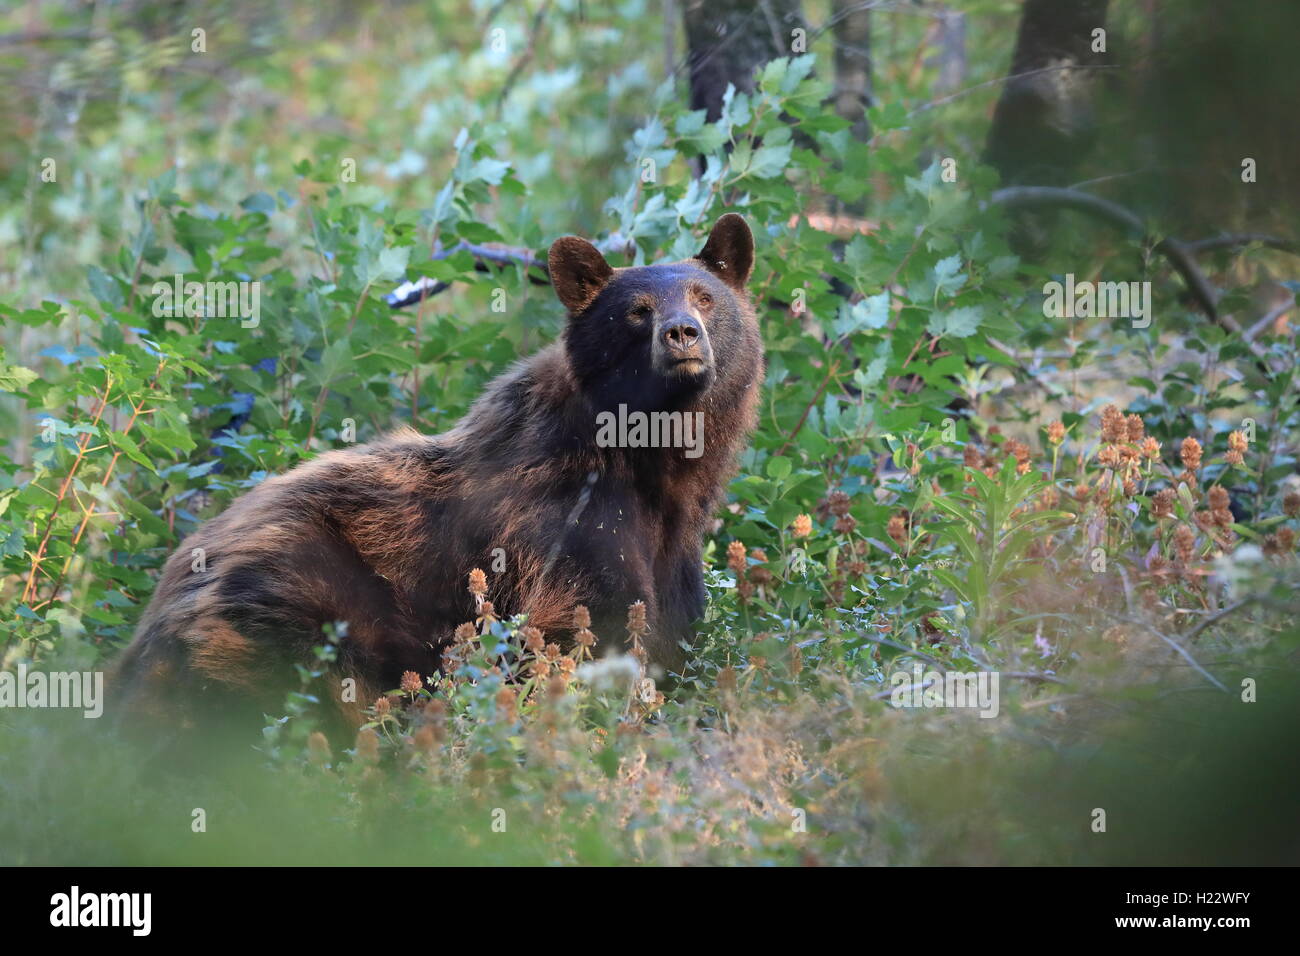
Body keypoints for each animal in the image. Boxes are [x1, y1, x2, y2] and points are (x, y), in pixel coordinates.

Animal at [110, 213, 763, 735]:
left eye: (705, 296)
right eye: (635, 310)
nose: (682, 333)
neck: (654, 470)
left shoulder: (672, 558)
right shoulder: (565, 529)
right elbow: (581, 633)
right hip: (288, 611)